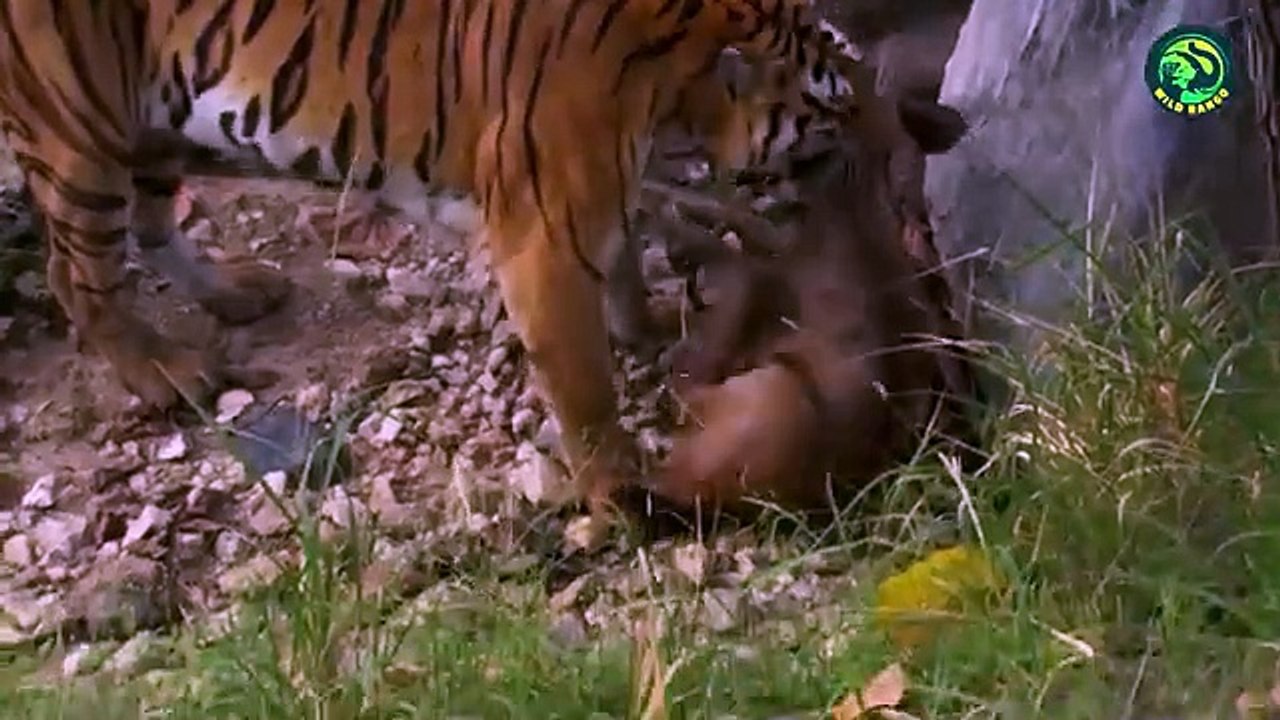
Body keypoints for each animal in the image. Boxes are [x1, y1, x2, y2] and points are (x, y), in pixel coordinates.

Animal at [0, 0, 868, 518]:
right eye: (835, 103)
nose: (883, 125)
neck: (679, 81)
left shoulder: (601, 194)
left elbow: (624, 262)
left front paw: (648, 327)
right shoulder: (543, 234)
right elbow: (583, 387)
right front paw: (617, 490)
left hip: (151, 126)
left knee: (152, 224)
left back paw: (233, 294)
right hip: (81, 123)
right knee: (76, 273)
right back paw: (164, 370)